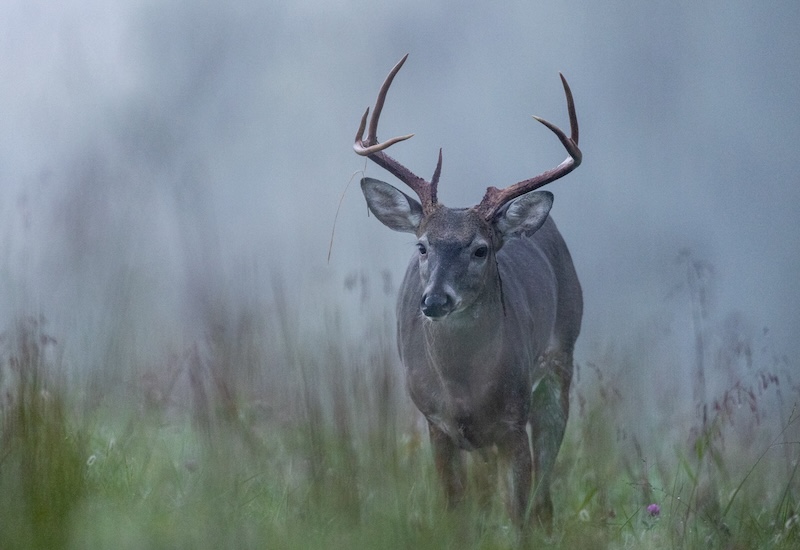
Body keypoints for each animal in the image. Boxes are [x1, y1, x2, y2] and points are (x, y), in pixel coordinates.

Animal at [353, 54, 582, 530]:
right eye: (422, 245)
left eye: (480, 249)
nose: (434, 300)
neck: (464, 391)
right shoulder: (434, 422)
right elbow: (455, 510)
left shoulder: (514, 420)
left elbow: (518, 514)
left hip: (561, 357)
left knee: (545, 483)